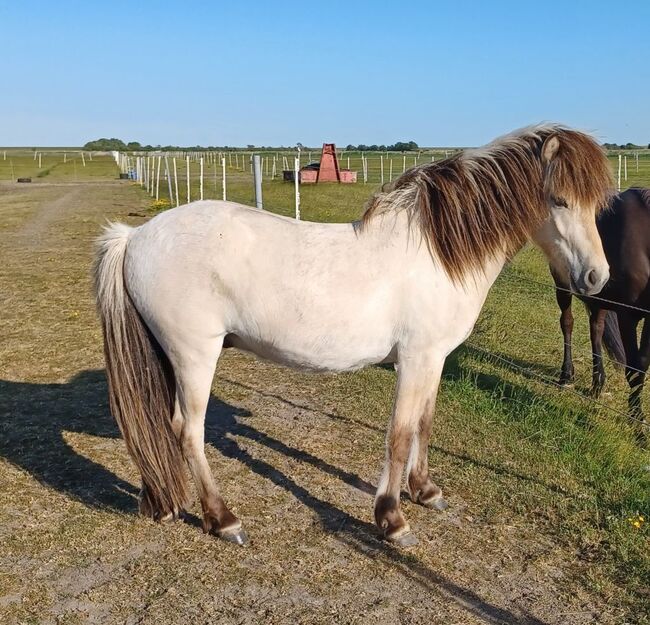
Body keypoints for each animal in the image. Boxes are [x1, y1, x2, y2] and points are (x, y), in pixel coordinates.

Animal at [93, 124, 612, 544]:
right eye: (560, 200)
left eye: (597, 205)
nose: (596, 278)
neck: (437, 254)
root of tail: (134, 239)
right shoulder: (415, 360)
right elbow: (399, 435)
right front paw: (392, 520)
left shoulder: (435, 359)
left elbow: (425, 423)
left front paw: (425, 491)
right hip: (194, 356)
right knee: (187, 430)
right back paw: (223, 520)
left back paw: (163, 503)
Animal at [552, 188, 648, 436]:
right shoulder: (628, 316)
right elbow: (634, 369)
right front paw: (637, 425)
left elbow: (642, 364)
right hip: (562, 284)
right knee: (567, 322)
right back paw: (566, 375)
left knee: (596, 329)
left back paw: (598, 383)